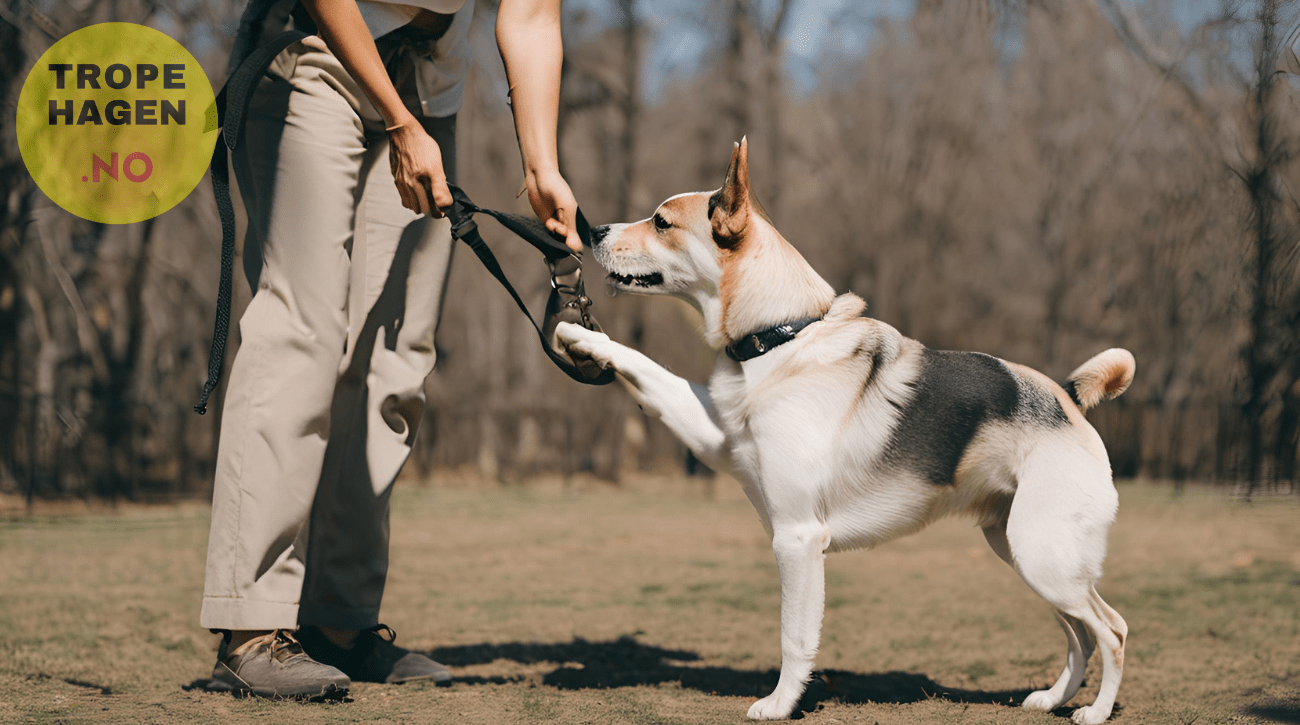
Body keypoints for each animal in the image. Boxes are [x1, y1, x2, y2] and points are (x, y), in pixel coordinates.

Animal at [553, 139, 1133, 722]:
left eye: (661, 222)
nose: (592, 230)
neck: (781, 337)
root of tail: (1069, 400)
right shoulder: (713, 437)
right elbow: (649, 371)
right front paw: (580, 337)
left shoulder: (797, 539)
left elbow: (794, 637)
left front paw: (781, 704)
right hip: (1026, 556)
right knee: (1080, 635)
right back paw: (1052, 699)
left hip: (1042, 557)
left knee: (1111, 631)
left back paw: (1095, 711)